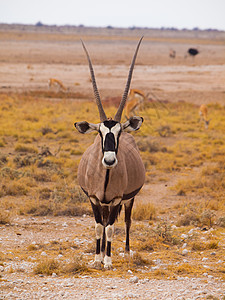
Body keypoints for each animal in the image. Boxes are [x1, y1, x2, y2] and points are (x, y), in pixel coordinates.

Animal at [74, 37, 144, 270]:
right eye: (100, 133)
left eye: (119, 132)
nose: (110, 160)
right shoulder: (95, 198)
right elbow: (99, 226)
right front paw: (97, 258)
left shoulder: (116, 199)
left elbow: (112, 228)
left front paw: (108, 261)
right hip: (104, 203)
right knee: (104, 223)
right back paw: (103, 250)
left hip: (129, 199)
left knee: (126, 221)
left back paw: (127, 252)